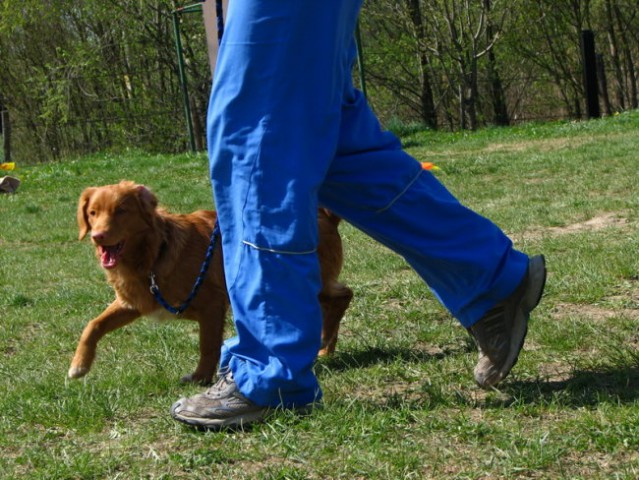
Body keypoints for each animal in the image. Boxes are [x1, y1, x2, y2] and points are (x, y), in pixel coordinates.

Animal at [69, 182, 356, 384]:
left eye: (121, 211)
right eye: (92, 213)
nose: (97, 236)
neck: (154, 252)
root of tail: (322, 213)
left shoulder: (211, 304)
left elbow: (207, 344)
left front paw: (200, 377)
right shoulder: (134, 303)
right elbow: (93, 325)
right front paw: (79, 365)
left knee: (343, 296)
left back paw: (324, 342)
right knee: (337, 299)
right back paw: (326, 348)